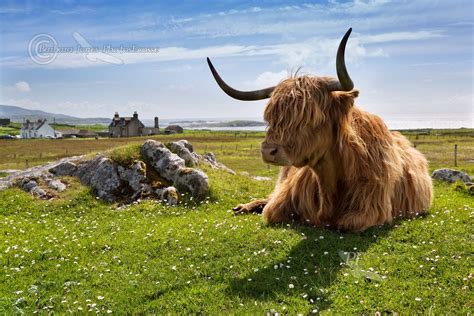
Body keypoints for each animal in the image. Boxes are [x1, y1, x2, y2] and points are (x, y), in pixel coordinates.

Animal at [207, 28, 434, 232]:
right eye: (271, 117)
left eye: (310, 117)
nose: (267, 151)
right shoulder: (285, 196)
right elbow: (271, 211)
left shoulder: (373, 207)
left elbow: (347, 224)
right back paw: (244, 206)